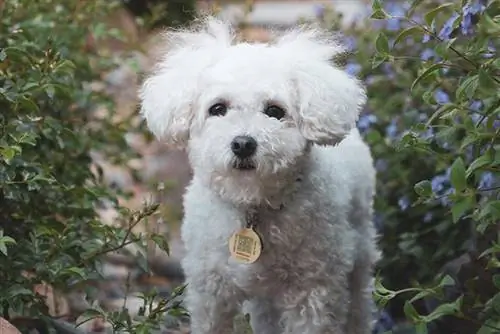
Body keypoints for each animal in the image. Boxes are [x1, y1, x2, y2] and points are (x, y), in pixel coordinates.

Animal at [139, 17, 380, 334]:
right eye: (218, 108)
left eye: (274, 111)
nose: (243, 144)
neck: (252, 204)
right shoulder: (210, 292)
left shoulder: (313, 291)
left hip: (359, 251)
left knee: (359, 305)